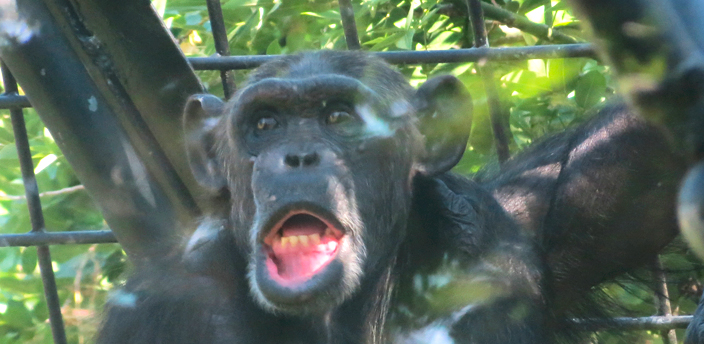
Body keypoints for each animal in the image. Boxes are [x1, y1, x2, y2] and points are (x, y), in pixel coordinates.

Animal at [96, 49, 684, 342]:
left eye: (339, 118)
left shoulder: (516, 223)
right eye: (265, 124)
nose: (299, 156)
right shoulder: (163, 306)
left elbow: (641, 157)